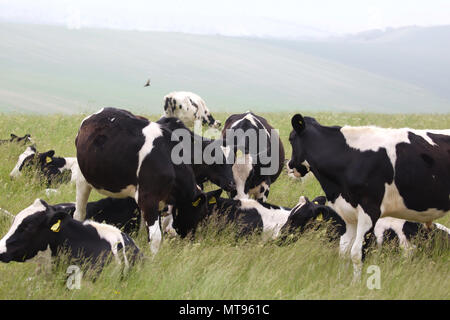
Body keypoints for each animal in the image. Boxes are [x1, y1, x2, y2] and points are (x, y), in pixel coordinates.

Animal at [73, 109, 236, 254]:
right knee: (79, 213)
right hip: (83, 179)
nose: (232, 184)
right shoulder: (148, 198)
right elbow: (156, 237)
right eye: (199, 214)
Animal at [288, 114, 450, 278]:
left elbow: (357, 253)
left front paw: (356, 283)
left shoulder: (369, 210)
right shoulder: (348, 214)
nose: (290, 165)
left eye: (290, 138)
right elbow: (344, 251)